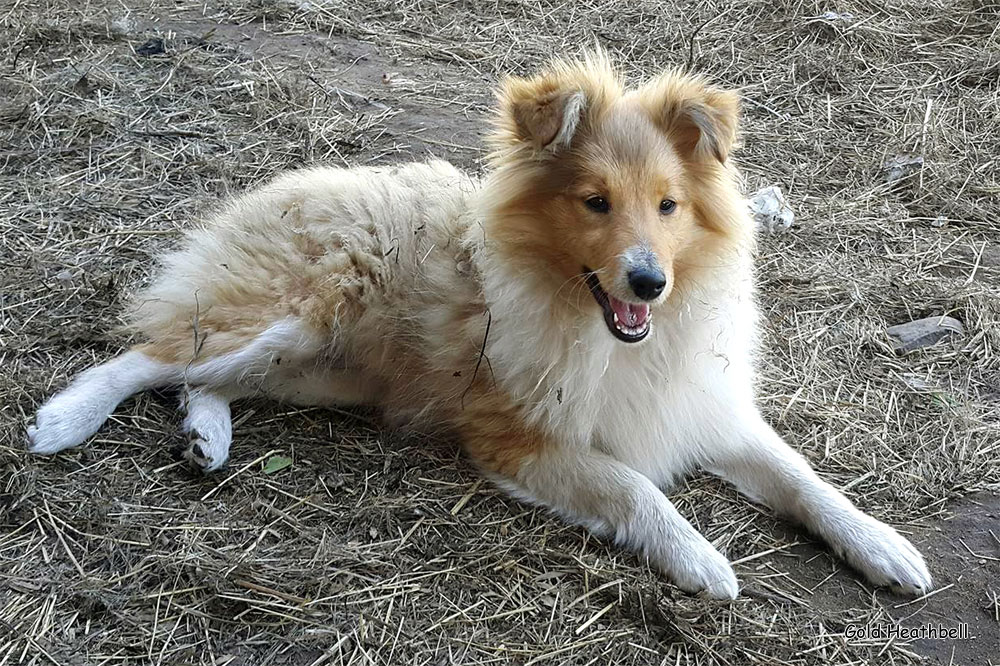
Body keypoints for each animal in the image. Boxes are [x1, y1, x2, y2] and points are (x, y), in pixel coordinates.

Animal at [25, 52, 928, 600]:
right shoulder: (517, 435)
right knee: (153, 357)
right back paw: (67, 419)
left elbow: (803, 478)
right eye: (595, 202)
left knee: (203, 380)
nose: (649, 280)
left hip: (326, 370)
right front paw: (700, 557)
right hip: (294, 316)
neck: (601, 329)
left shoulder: (704, 405)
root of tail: (283, 185)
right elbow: (633, 486)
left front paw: (882, 544)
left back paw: (205, 437)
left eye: (669, 205)